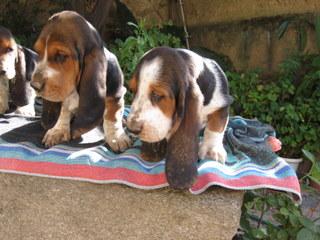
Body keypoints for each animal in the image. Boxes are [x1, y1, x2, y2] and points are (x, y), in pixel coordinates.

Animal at [29, 10, 130, 152]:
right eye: (38, 52)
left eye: (61, 56)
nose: (34, 86)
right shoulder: (65, 96)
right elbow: (64, 111)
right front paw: (57, 130)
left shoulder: (116, 94)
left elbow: (112, 116)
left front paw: (116, 137)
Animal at [126, 47, 234, 189]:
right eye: (133, 90)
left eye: (157, 95)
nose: (131, 129)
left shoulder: (222, 104)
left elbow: (215, 127)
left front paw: (211, 150)